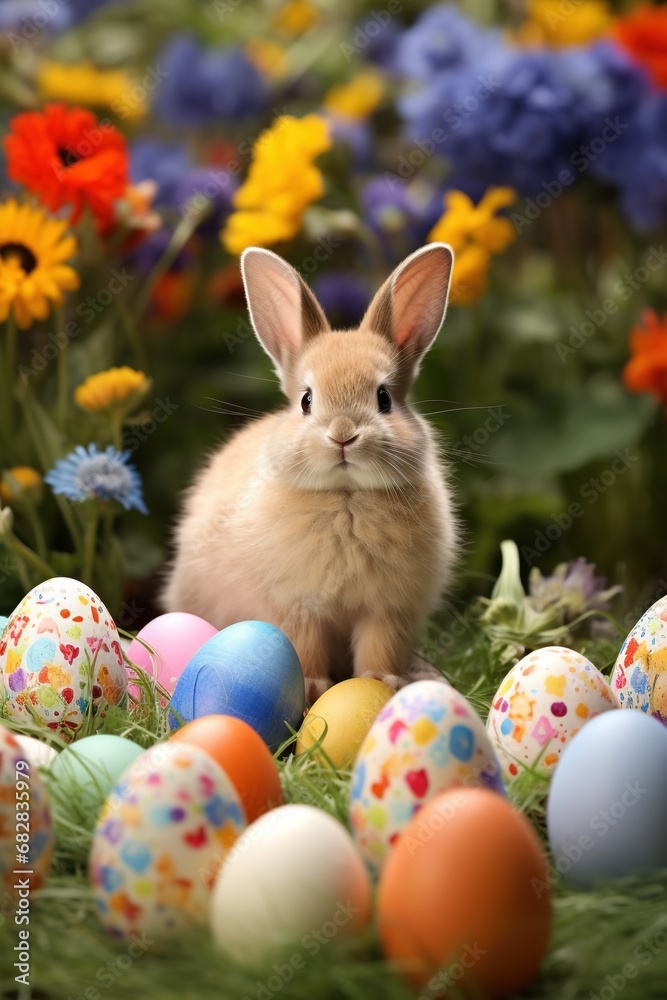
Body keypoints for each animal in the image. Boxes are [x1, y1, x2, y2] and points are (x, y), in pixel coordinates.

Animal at [162, 242, 460, 704]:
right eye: (306, 400)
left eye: (384, 398)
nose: (343, 435)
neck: (347, 495)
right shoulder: (297, 607)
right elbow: (304, 646)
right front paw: (313, 687)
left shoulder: (387, 610)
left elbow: (379, 647)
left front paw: (381, 683)